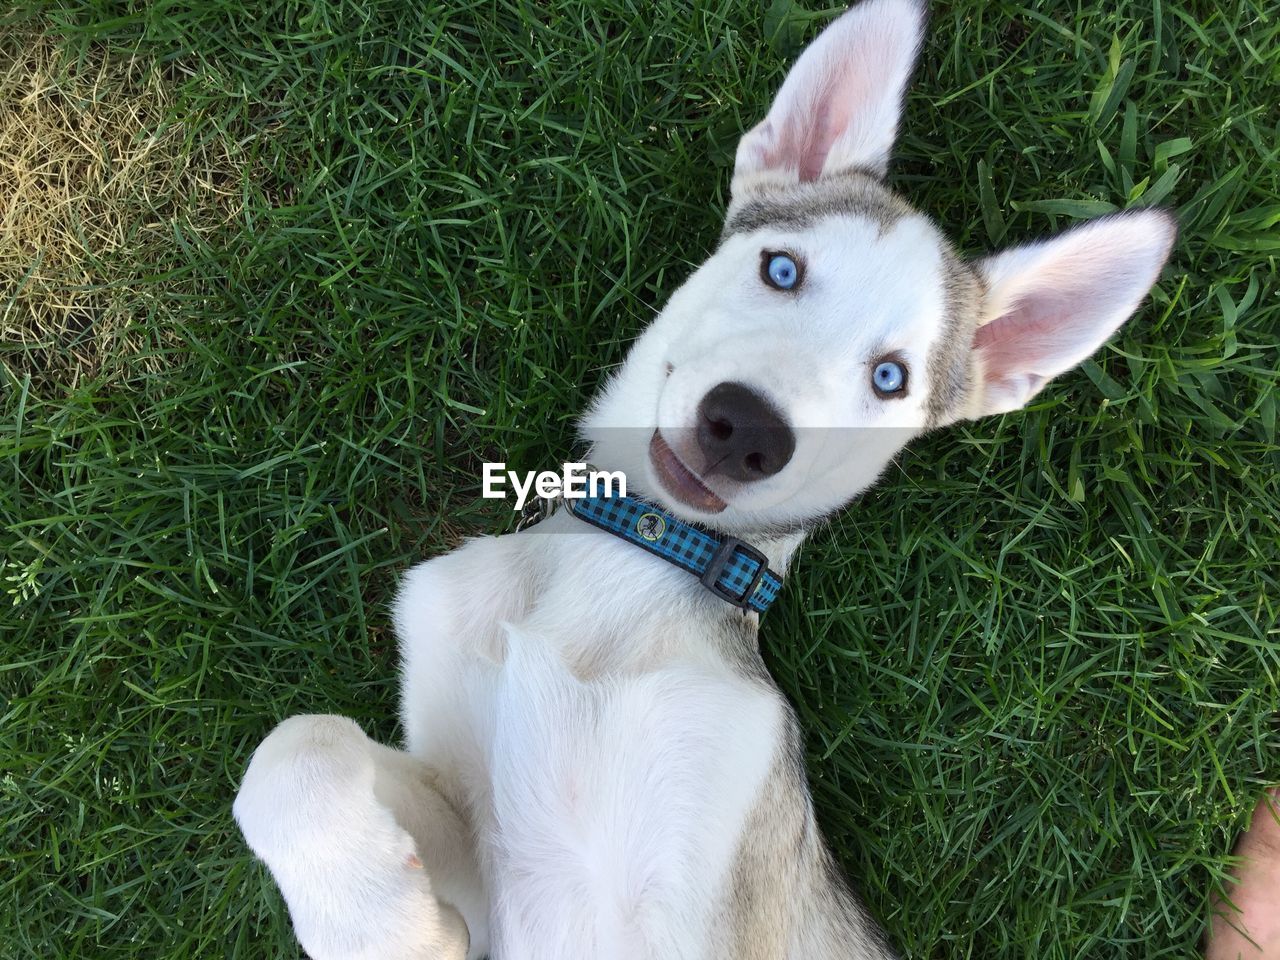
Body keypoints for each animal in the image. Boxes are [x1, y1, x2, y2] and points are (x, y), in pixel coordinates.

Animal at [235, 1, 1172, 960]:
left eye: (891, 379)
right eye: (782, 268)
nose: (747, 429)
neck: (630, 566)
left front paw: (374, 917)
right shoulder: (475, 846)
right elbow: (294, 746)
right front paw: (376, 916)